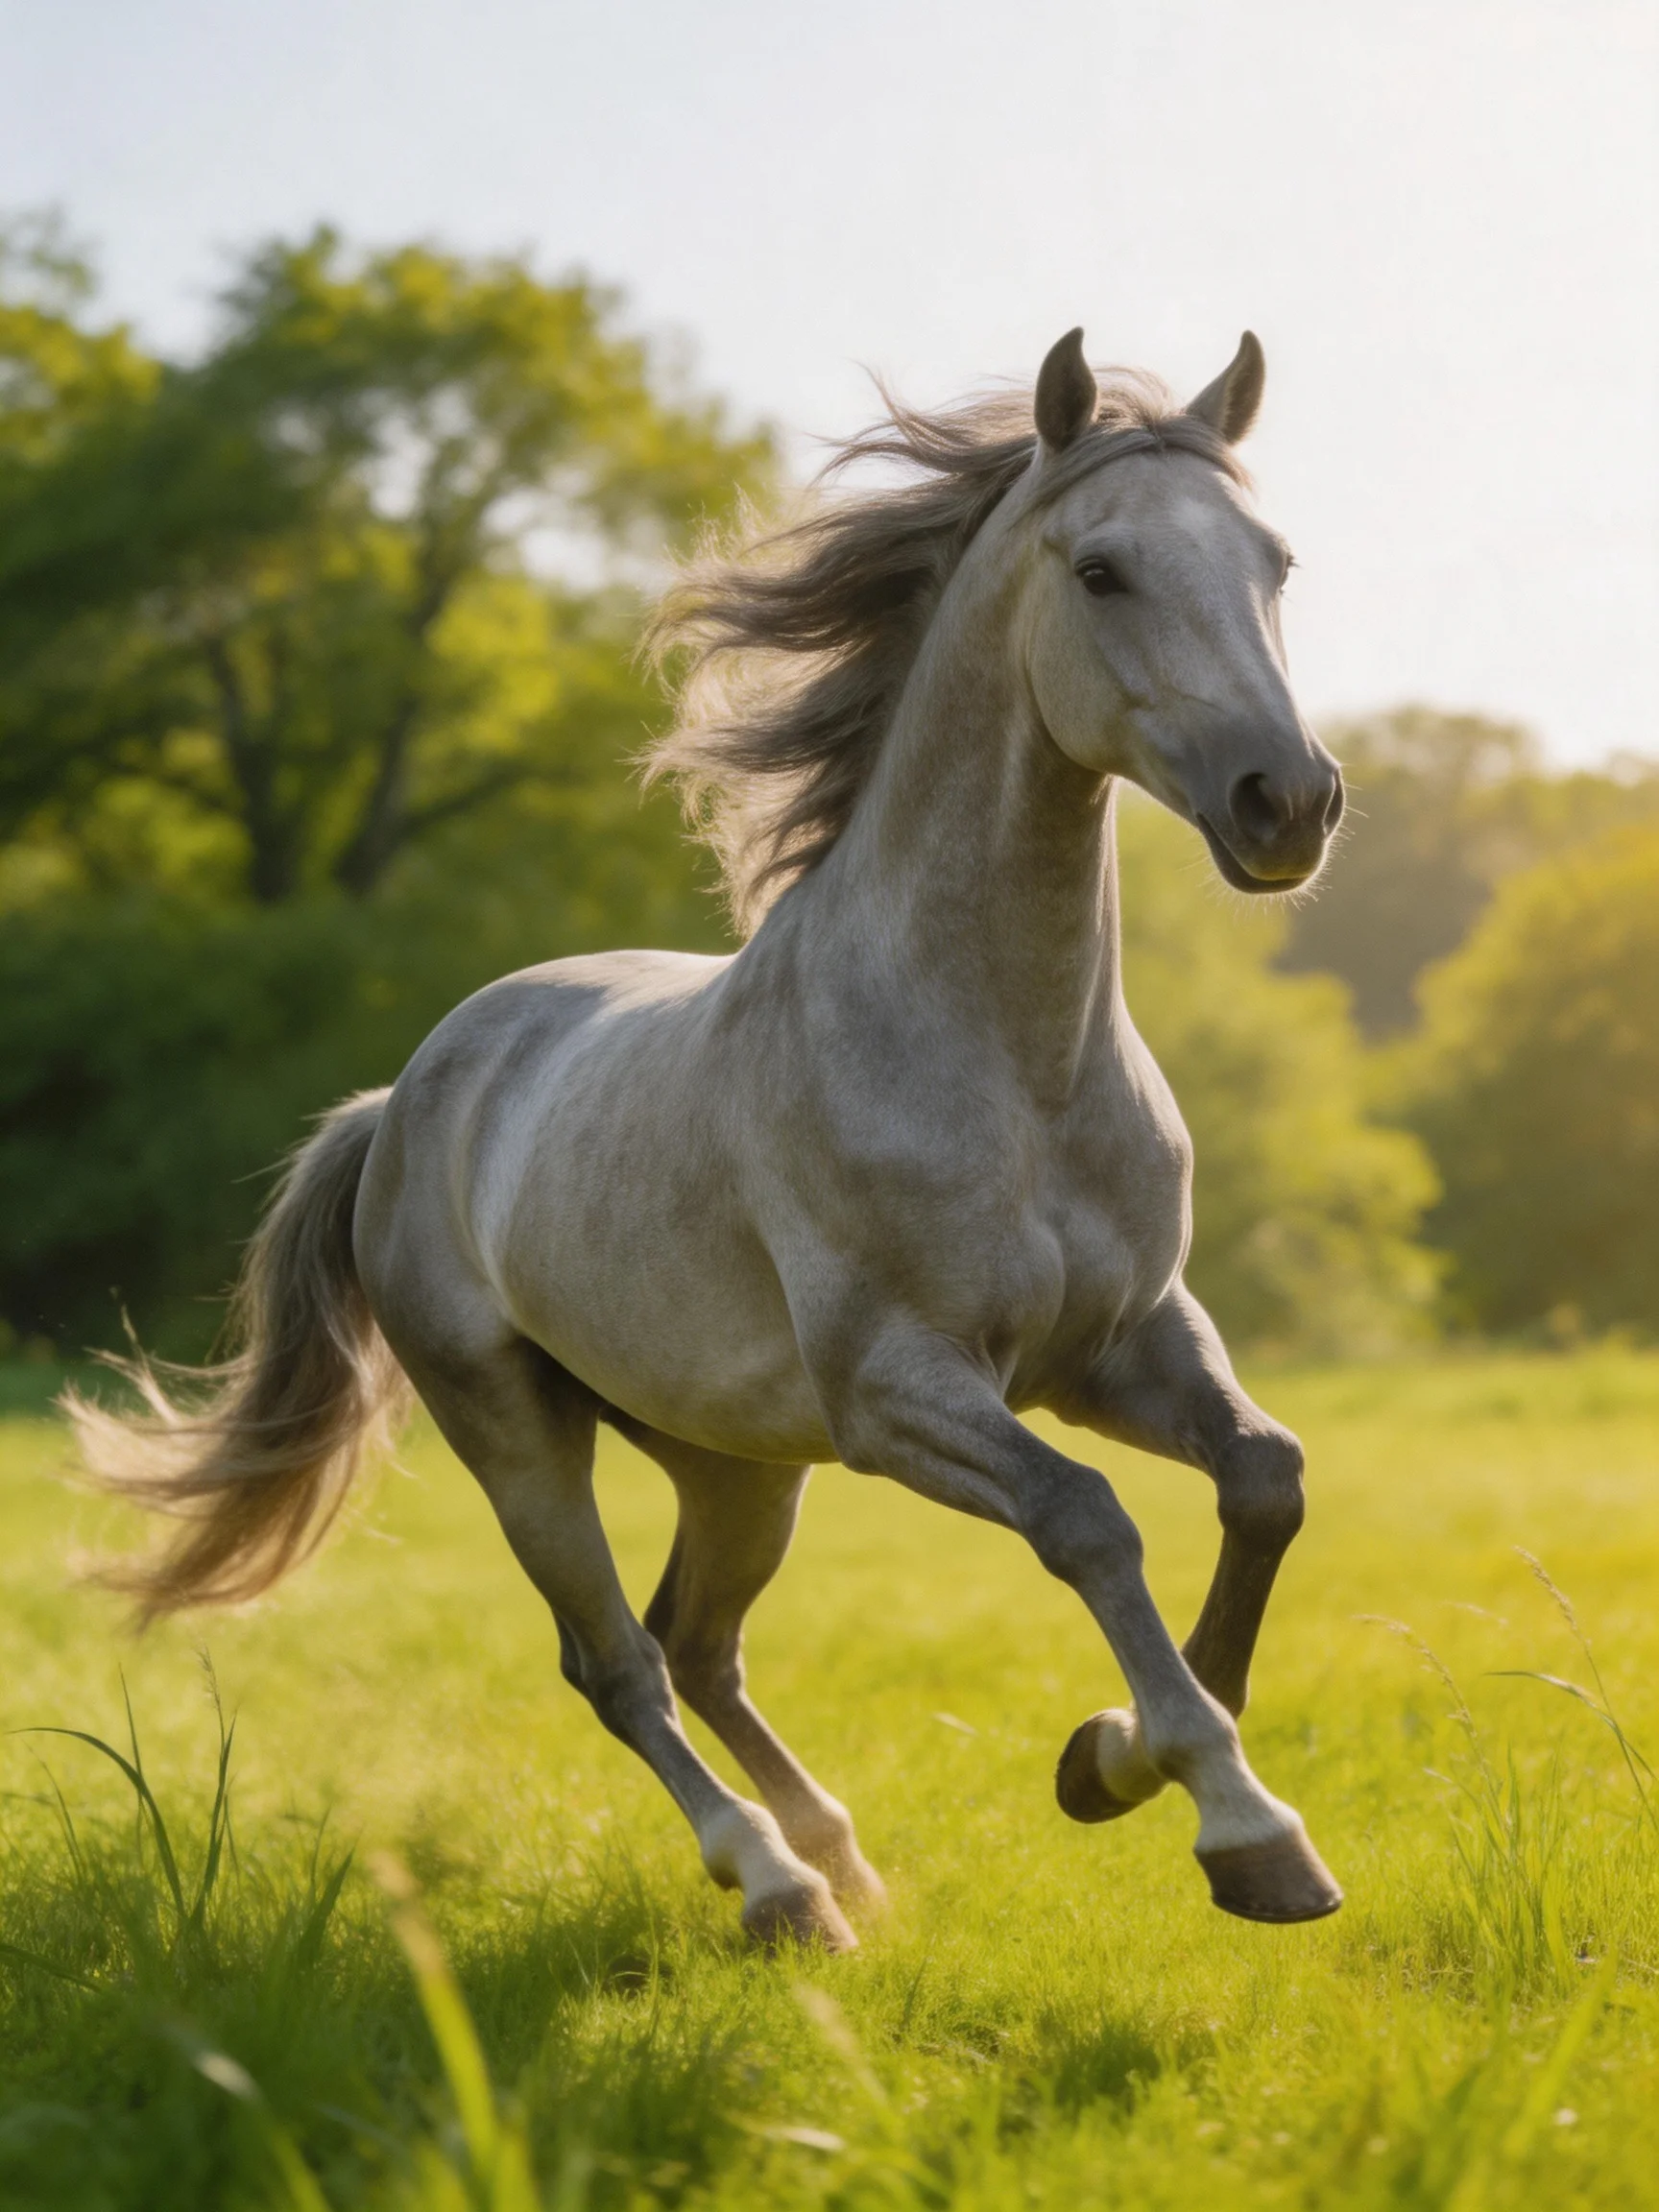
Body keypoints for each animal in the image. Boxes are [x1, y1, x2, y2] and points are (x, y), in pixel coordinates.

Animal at [73, 327, 1348, 1951]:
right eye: (1103, 570)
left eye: (1275, 560)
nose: (1288, 802)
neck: (1012, 1063)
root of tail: (398, 1104)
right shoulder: (898, 1392)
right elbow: (1089, 1520)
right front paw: (1236, 1820)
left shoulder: (1124, 1343)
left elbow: (1265, 1479)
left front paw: (1111, 1764)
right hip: (517, 1433)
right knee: (617, 1662)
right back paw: (779, 1882)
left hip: (732, 1458)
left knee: (698, 1642)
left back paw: (841, 1859)